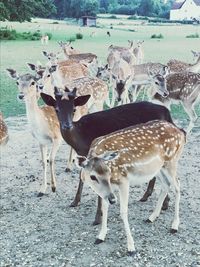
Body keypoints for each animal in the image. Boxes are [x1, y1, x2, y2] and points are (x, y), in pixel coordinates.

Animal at [6, 69, 62, 197]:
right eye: (17, 82)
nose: (21, 95)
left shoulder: (57, 137)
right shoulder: (41, 141)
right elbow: (44, 161)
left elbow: (51, 160)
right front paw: (42, 189)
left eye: (33, 82)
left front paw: (54, 187)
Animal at [41, 88, 174, 226]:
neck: (80, 139)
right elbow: (82, 176)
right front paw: (75, 202)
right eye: (56, 109)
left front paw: (97, 218)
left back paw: (162, 203)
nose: (67, 125)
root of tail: (167, 113)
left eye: (74, 109)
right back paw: (149, 197)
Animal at [80, 120, 186, 256]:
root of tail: (180, 132)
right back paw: (151, 217)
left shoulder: (124, 180)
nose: (113, 200)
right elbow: (105, 207)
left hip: (172, 160)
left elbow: (123, 211)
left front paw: (131, 247)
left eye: (108, 172)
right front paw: (100, 237)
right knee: (166, 185)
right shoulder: (107, 190)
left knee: (177, 186)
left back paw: (174, 226)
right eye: (93, 177)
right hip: (158, 168)